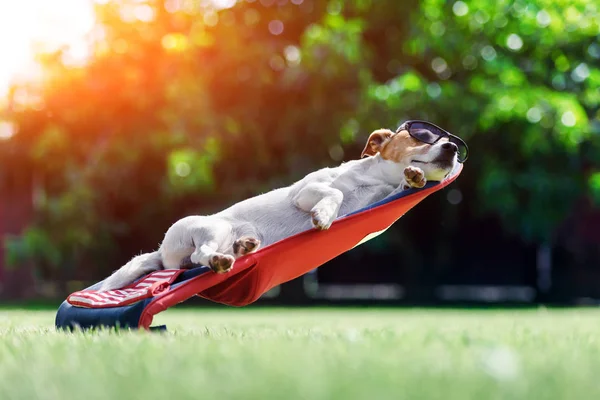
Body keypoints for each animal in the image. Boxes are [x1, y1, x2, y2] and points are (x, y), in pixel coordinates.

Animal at [101, 120, 468, 290]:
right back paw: (223, 257)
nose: (452, 148)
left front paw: (414, 178)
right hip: (212, 227)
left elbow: (404, 183)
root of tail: (162, 253)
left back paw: (244, 247)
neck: (375, 181)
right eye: (422, 136)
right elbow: (333, 195)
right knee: (201, 256)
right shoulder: (307, 191)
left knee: (205, 258)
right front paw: (324, 214)